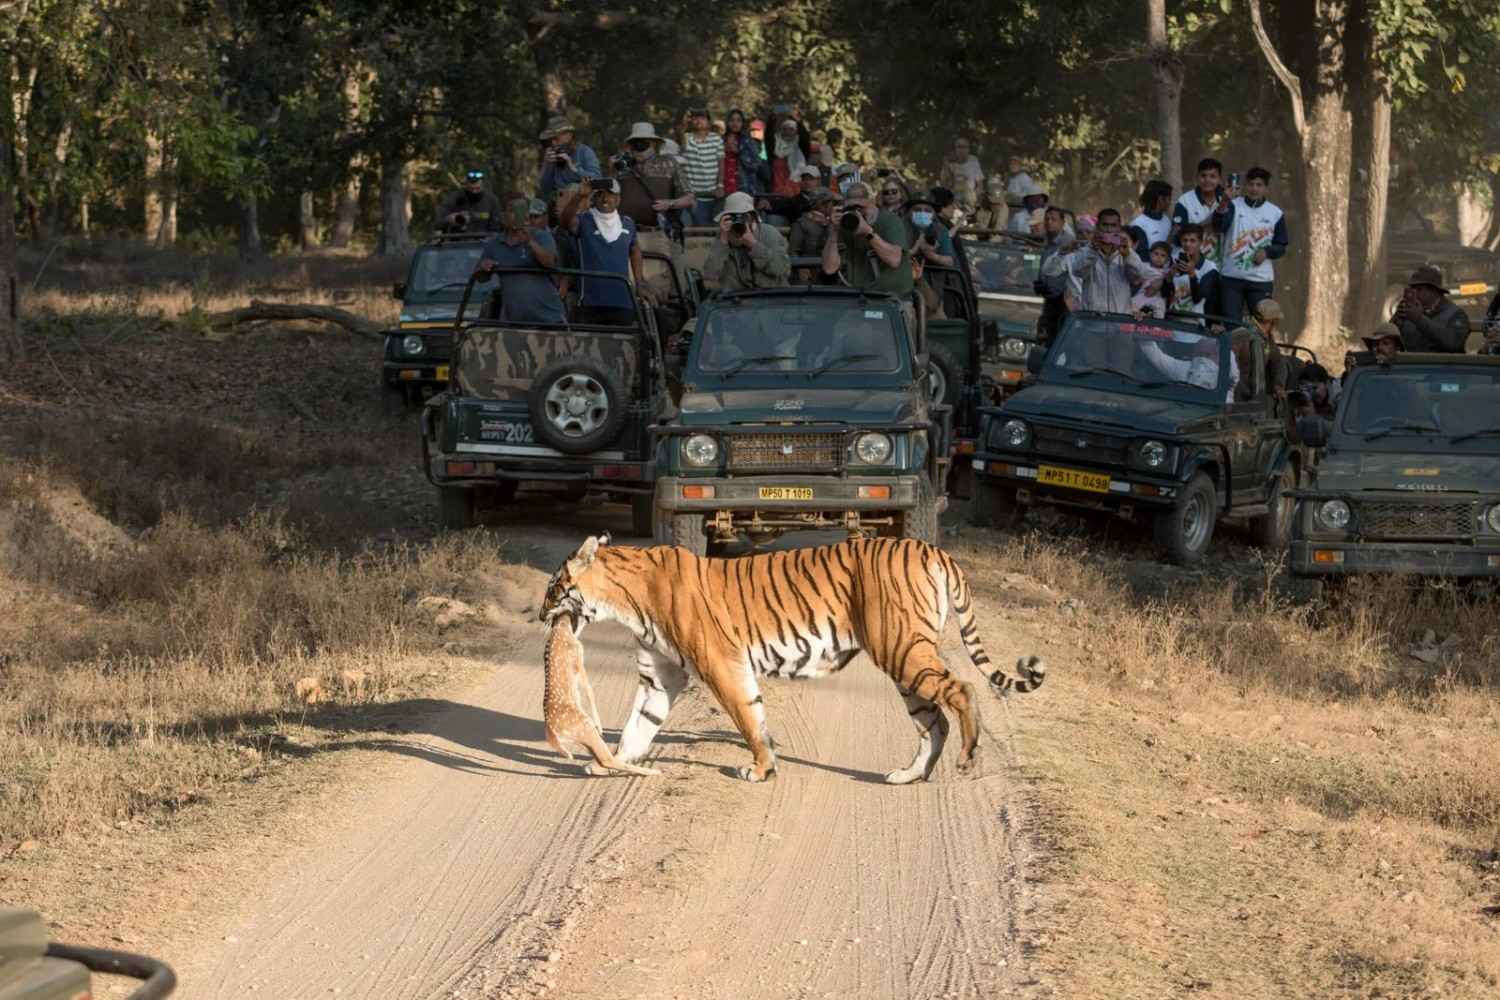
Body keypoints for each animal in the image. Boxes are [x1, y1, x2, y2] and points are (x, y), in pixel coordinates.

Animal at [539, 533, 1046, 784]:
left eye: (552, 588)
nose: (540, 615)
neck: (624, 600)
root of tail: (935, 549)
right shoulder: (659, 676)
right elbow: (638, 726)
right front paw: (613, 763)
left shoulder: (723, 666)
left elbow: (748, 719)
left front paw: (761, 770)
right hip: (905, 661)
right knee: (933, 721)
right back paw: (909, 775)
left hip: (903, 649)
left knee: (963, 690)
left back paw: (968, 757)